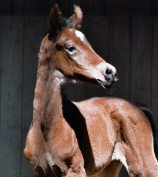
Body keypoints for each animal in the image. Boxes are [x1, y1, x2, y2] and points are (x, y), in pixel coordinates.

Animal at [23, 4, 158, 176]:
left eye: (88, 44)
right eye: (70, 48)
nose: (110, 72)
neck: (46, 129)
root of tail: (137, 107)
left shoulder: (75, 169)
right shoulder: (40, 170)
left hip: (144, 165)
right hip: (107, 168)